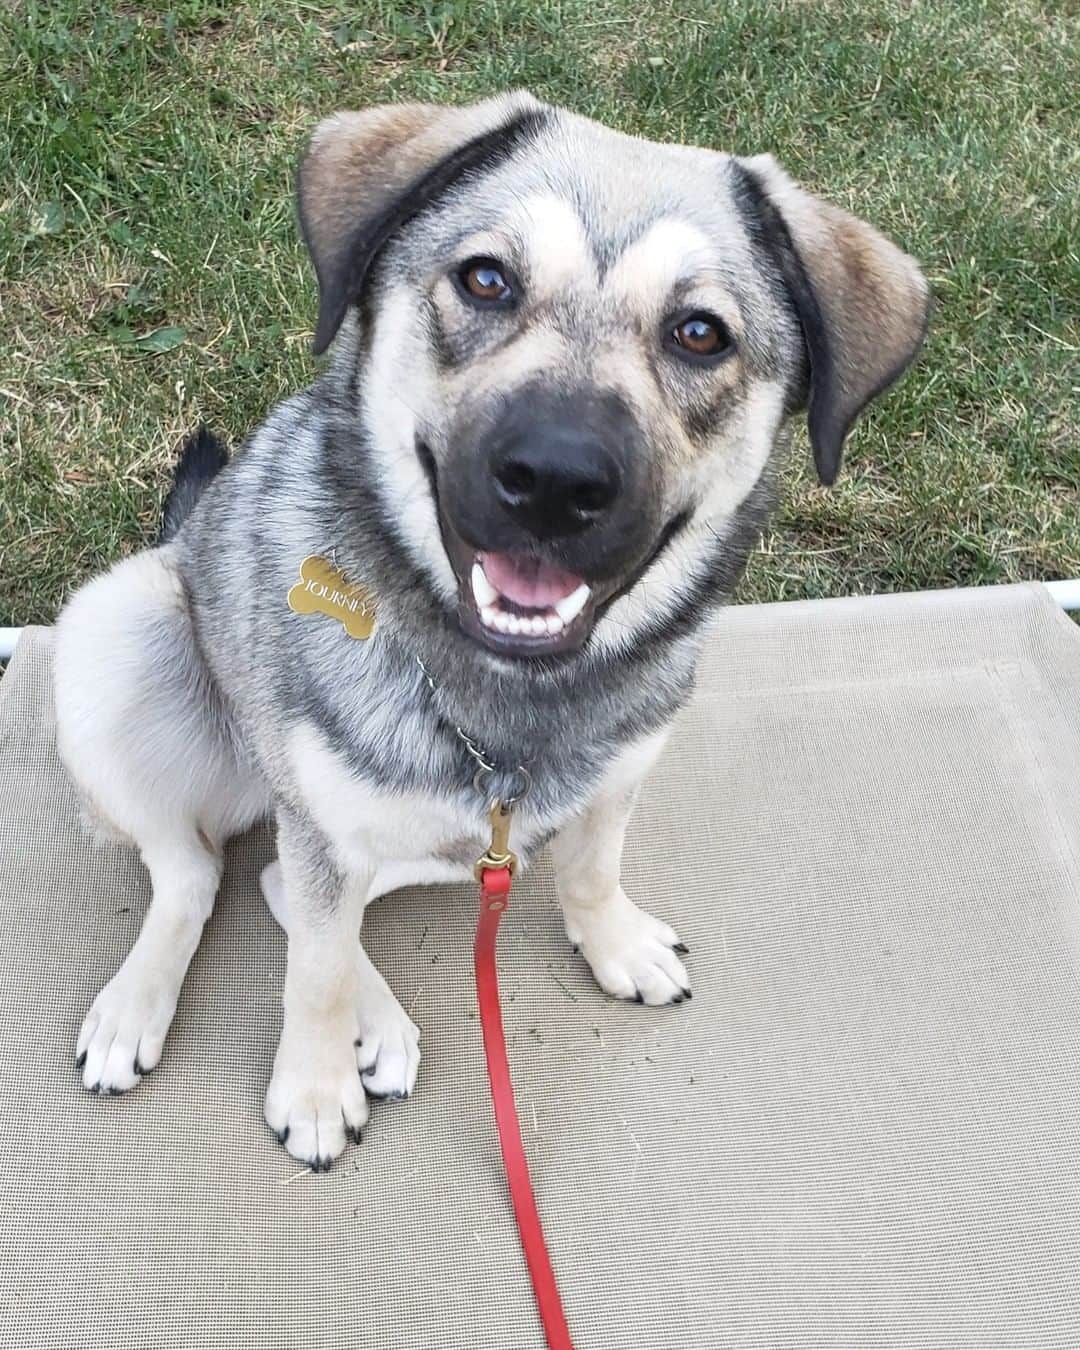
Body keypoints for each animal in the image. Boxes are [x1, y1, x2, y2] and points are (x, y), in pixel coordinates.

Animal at [52, 89, 928, 1166]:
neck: (510, 701)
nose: (554, 479)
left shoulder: (616, 777)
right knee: (203, 875)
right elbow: (315, 969)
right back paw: (145, 1010)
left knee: (279, 890)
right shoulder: (326, 827)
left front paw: (615, 942)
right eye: (485, 278)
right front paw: (314, 1086)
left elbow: (592, 870)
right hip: (114, 635)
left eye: (700, 332)